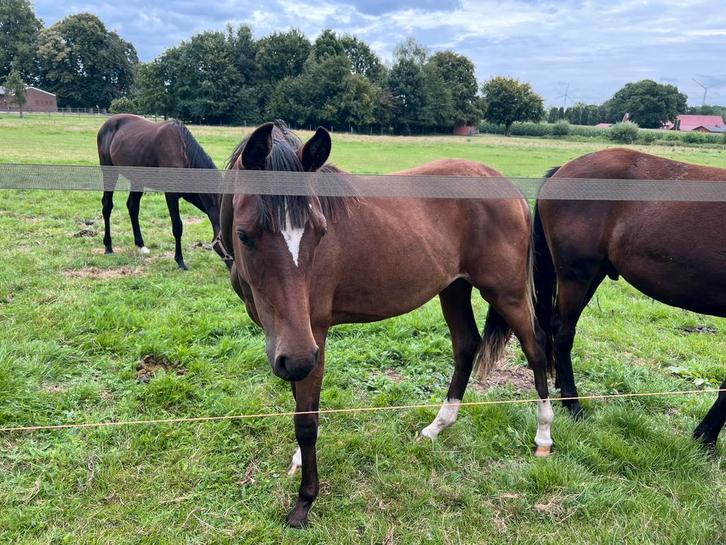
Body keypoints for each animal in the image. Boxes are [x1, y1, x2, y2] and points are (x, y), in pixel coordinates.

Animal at [97, 114, 230, 270]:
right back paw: (108, 246)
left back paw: (141, 245)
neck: (183, 153)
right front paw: (180, 260)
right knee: (107, 206)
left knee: (132, 207)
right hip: (109, 172)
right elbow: (177, 226)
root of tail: (108, 123)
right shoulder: (171, 195)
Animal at [220, 122, 552, 528]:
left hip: (507, 293)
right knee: (466, 346)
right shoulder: (290, 343)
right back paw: (437, 427)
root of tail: (508, 187)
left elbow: (307, 421)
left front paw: (304, 502)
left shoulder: (311, 336)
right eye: (245, 234)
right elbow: (300, 400)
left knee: (536, 349)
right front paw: (298, 463)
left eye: (320, 232)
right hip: (454, 287)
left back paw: (543, 437)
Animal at [533, 147, 726, 448]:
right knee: (563, 332)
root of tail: (564, 169)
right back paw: (573, 404)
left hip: (593, 273)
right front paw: (705, 438)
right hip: (576, 275)